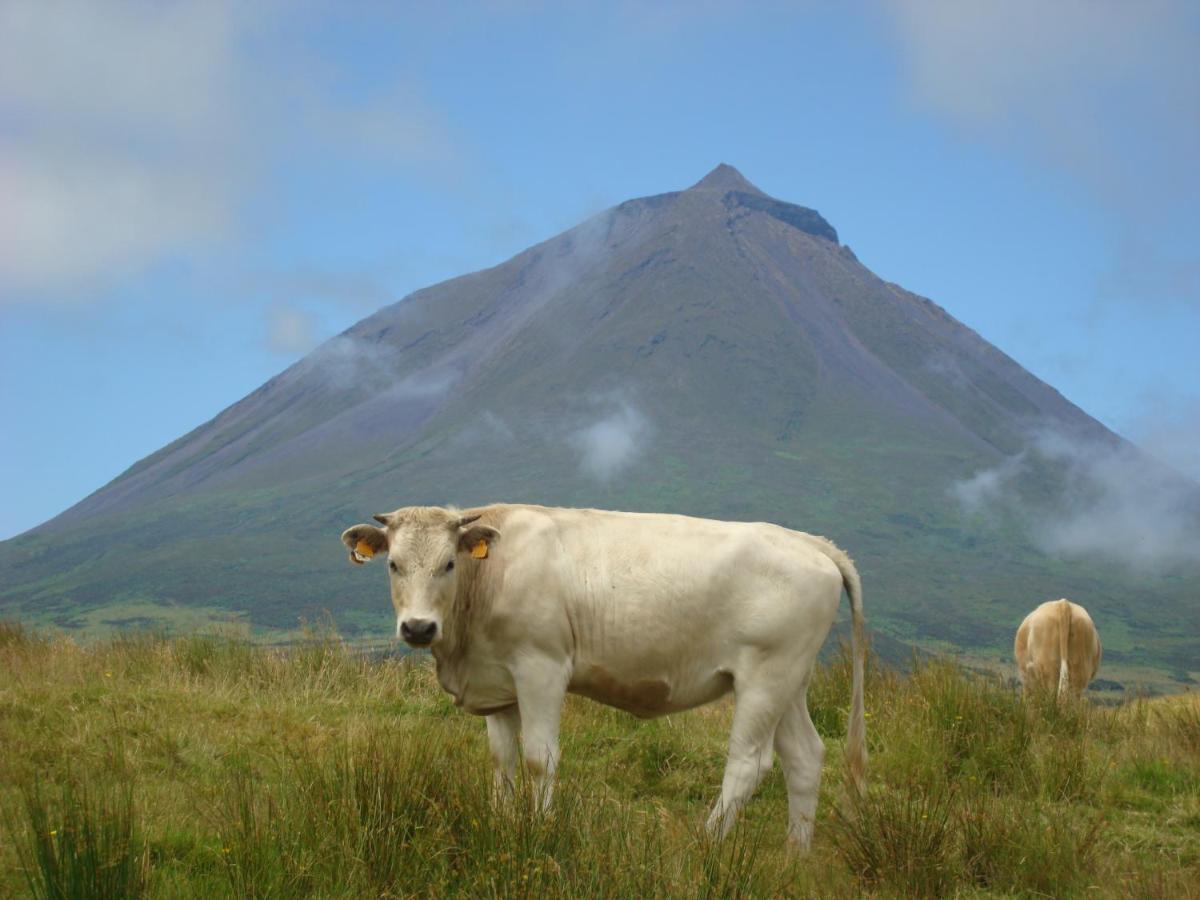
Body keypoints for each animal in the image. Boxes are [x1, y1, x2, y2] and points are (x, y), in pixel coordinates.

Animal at [343, 508, 868, 854]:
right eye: (393, 564)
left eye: (449, 563)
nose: (418, 628)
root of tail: (809, 542)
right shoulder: (496, 682)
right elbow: (501, 759)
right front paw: (500, 821)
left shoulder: (541, 666)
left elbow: (538, 758)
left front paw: (539, 828)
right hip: (790, 680)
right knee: (804, 757)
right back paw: (795, 855)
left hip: (765, 675)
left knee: (748, 764)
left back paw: (705, 845)